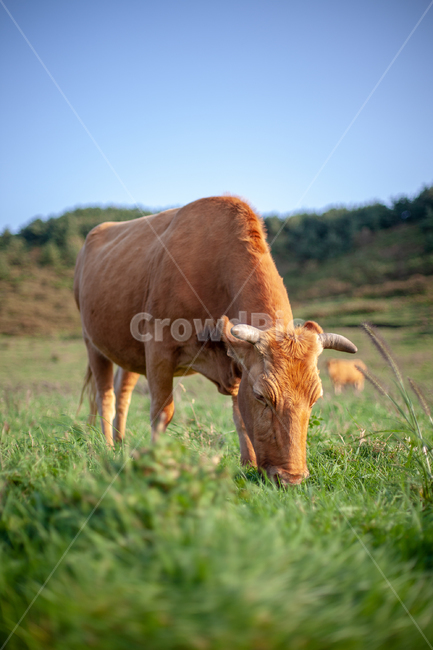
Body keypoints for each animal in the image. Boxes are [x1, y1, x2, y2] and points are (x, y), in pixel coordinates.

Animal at [74, 196, 357, 485]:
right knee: (105, 396)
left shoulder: (236, 362)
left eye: (315, 398)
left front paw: (248, 462)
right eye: (262, 396)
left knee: (122, 392)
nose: (291, 478)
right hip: (92, 343)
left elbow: (239, 415)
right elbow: (162, 412)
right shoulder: (158, 350)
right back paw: (108, 446)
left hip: (129, 353)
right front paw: (157, 461)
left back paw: (120, 443)